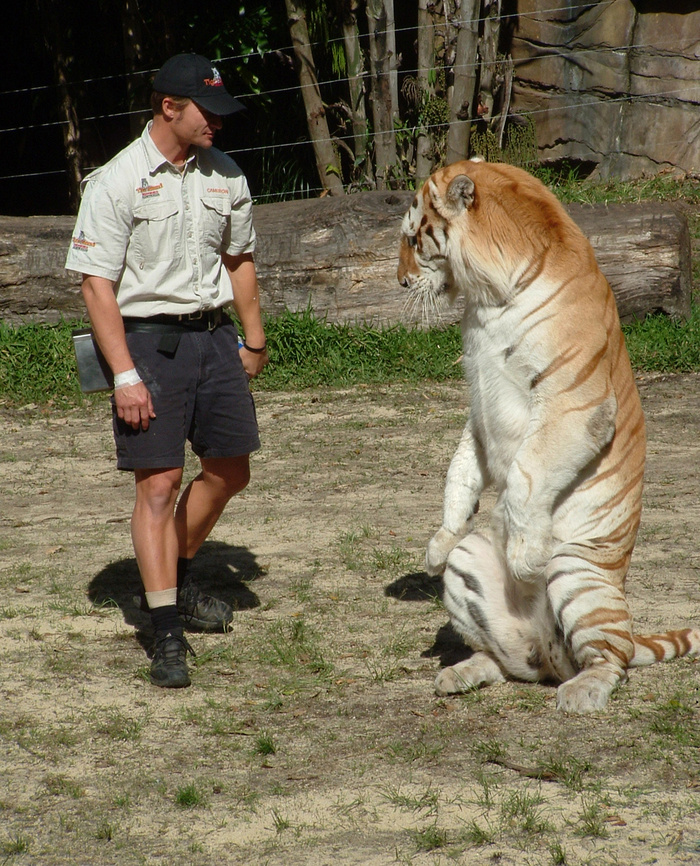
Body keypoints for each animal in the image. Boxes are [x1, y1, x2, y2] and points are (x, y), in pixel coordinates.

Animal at [400, 159, 700, 712]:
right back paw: (460, 672)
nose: (403, 282)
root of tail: (548, 659)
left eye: (413, 239)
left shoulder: (575, 405)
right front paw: (438, 541)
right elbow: (461, 469)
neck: (488, 300)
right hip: (472, 565)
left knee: (609, 658)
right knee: (507, 663)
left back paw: (582, 691)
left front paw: (524, 557)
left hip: (577, 572)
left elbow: (526, 472)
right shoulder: (478, 400)